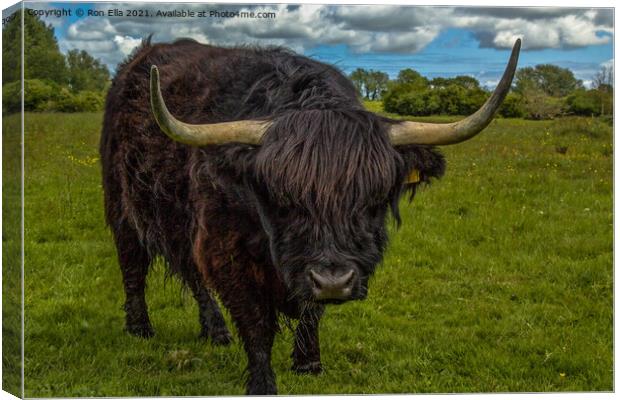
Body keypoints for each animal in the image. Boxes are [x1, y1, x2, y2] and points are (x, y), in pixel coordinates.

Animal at [100, 36, 520, 394]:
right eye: (282, 198)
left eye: (373, 198)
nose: (334, 281)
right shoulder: (228, 250)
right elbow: (256, 323)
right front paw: (262, 384)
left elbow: (311, 311)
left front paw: (308, 363)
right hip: (121, 204)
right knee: (133, 265)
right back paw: (140, 327)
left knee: (192, 273)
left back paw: (215, 331)